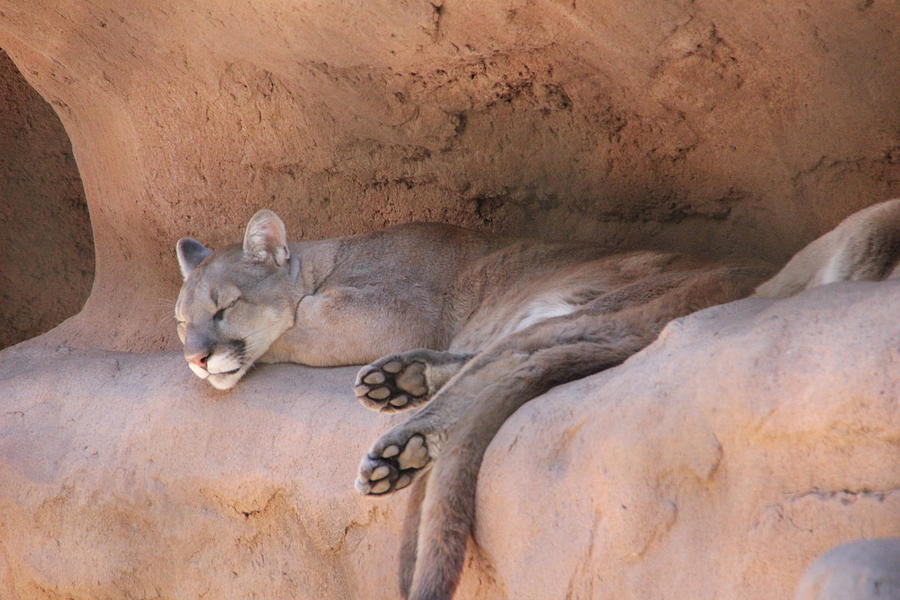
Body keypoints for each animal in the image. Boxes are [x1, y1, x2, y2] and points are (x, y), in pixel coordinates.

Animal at [172, 198, 896, 600]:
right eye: (182, 321)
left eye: (223, 307)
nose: (195, 356)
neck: (327, 260)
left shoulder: (389, 310)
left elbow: (291, 331)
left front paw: (241, 357)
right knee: (489, 361)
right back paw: (402, 385)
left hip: (605, 303)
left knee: (508, 360)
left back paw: (401, 444)